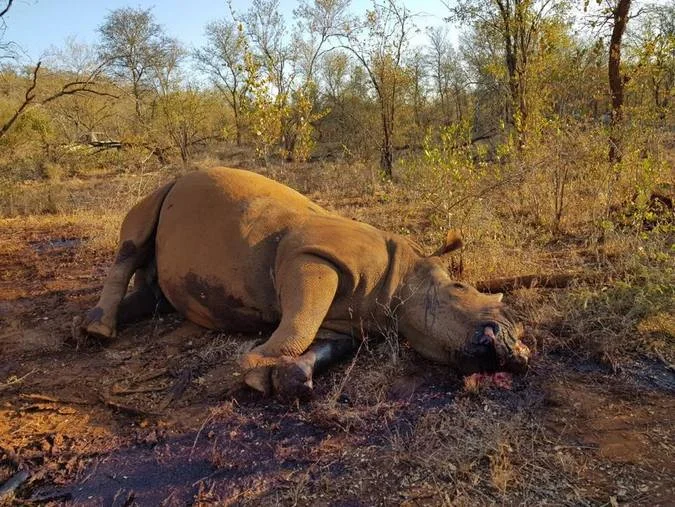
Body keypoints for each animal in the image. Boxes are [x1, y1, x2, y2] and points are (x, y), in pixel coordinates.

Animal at [82, 167, 530, 398]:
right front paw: (255, 372)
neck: (407, 274)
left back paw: (93, 327)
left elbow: (323, 344)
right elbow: (300, 319)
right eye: (461, 290)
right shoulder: (308, 257)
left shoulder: (349, 324)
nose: (520, 354)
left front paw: (290, 379)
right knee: (133, 240)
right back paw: (97, 332)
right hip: (164, 189)